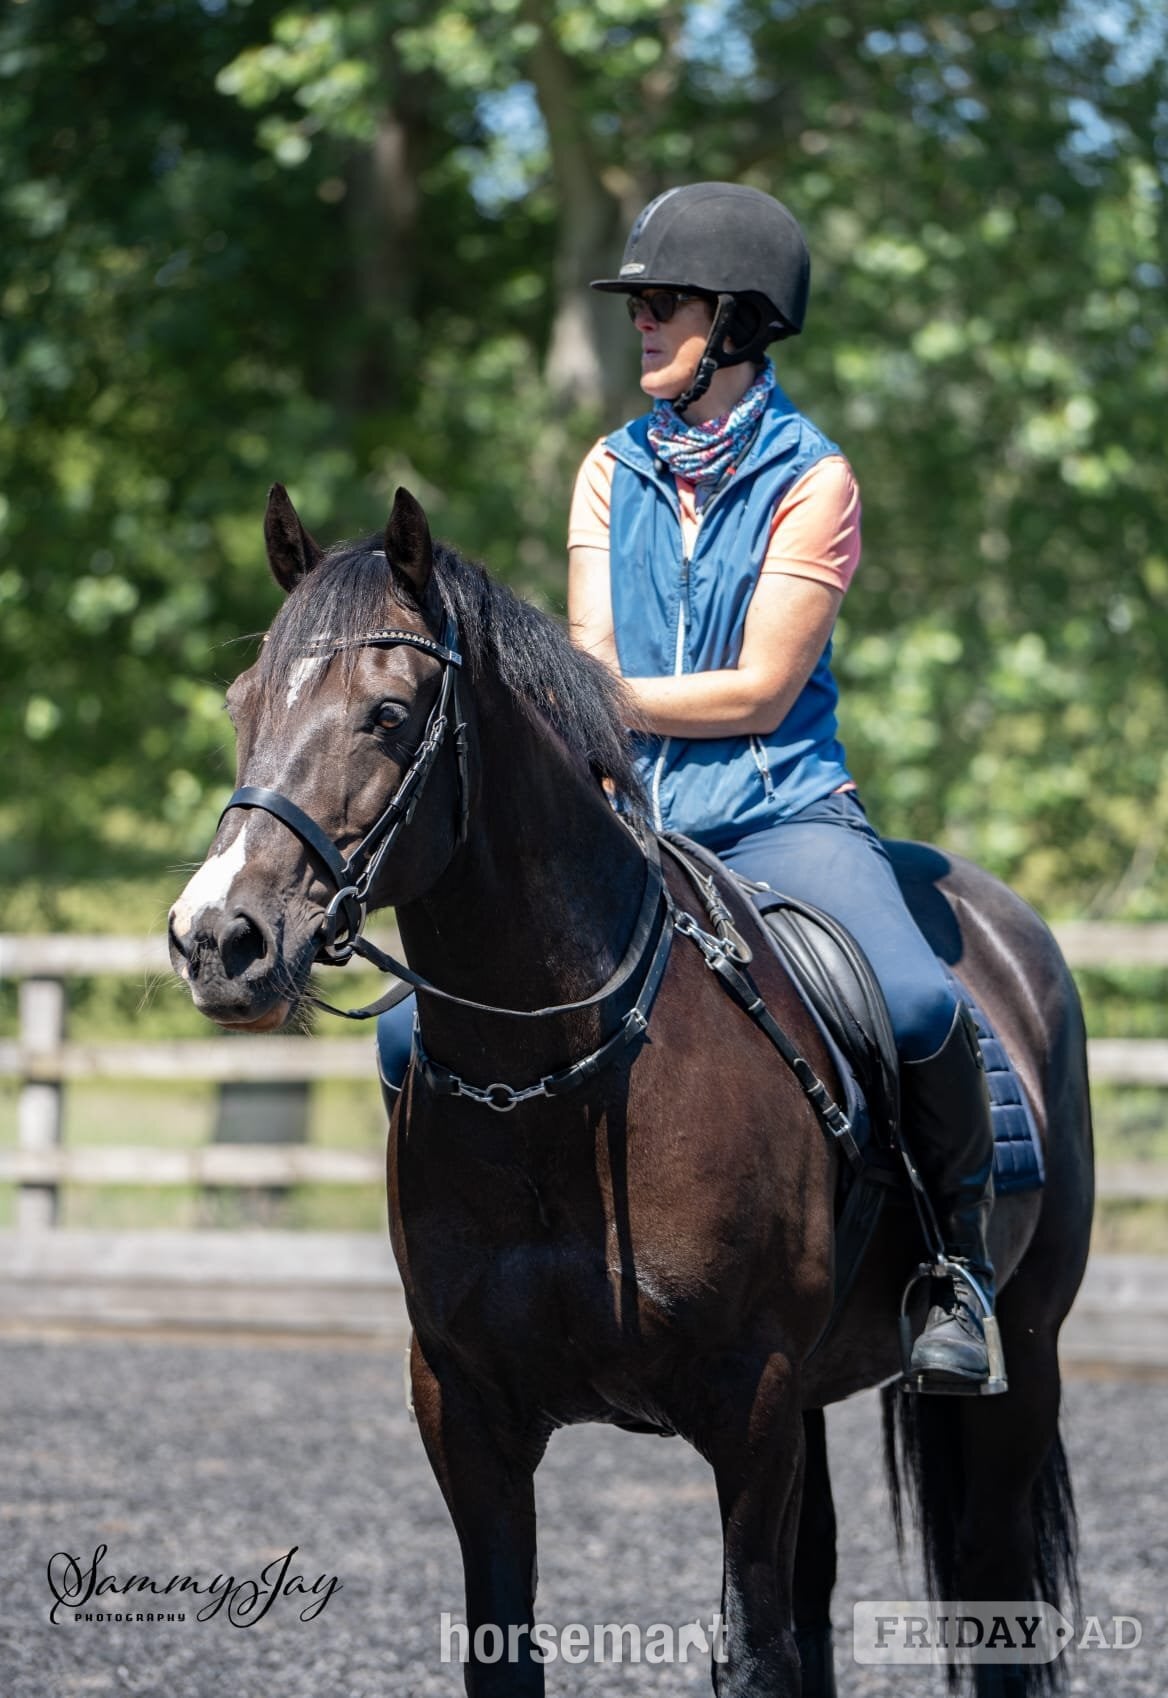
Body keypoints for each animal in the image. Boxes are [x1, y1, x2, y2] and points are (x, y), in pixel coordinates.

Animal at [169, 484, 1093, 1698]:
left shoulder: (749, 1408)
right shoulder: (467, 1414)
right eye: (243, 704)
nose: (216, 940)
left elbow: (751, 1654)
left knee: (988, 1585)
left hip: (1020, 1360)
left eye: (388, 712)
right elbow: (510, 1650)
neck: (561, 1083)